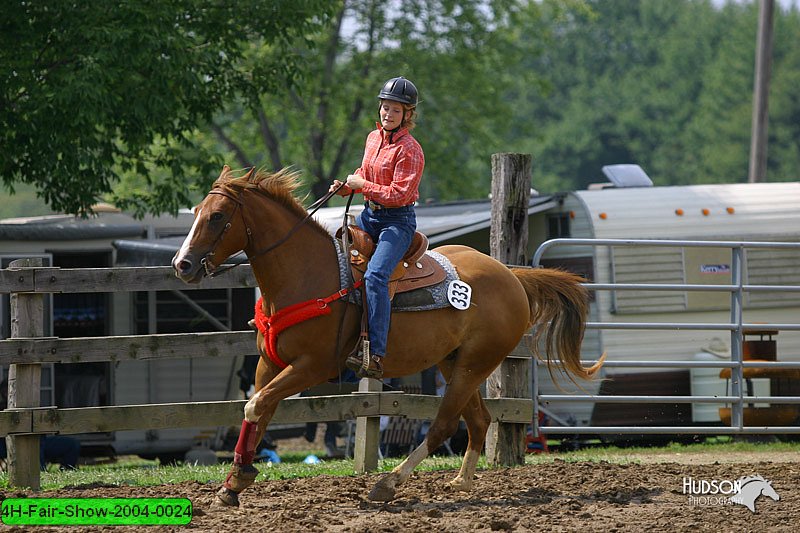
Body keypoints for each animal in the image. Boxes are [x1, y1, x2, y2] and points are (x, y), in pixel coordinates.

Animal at [172, 166, 604, 508]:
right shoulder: (269, 364)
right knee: (479, 421)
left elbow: (255, 406)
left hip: (475, 363)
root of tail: (511, 275)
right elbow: (258, 412)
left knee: (445, 426)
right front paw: (234, 483)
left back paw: (388, 483)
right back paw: (462, 481)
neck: (307, 275)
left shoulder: (311, 367)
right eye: (196, 213)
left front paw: (239, 477)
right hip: (455, 363)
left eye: (217, 216)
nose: (182, 264)